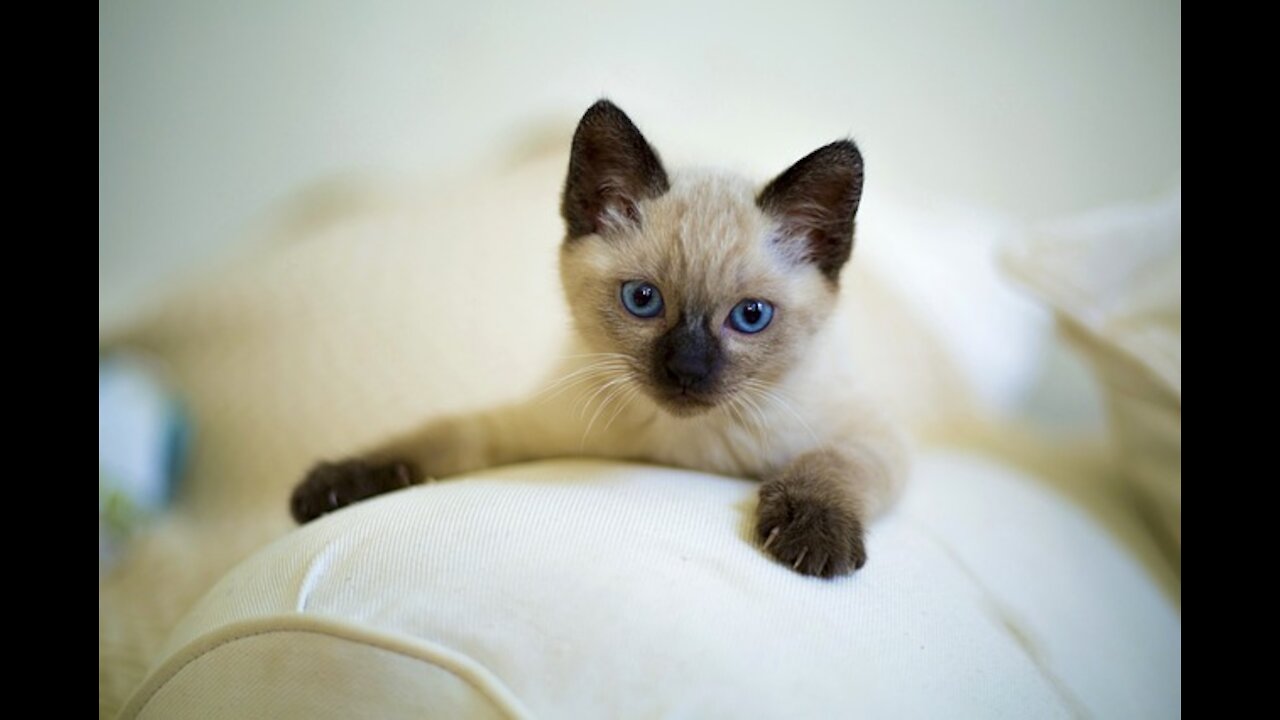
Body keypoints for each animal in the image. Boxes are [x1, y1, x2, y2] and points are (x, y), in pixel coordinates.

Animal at [290, 99, 911, 576]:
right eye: (643, 300)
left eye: (751, 316)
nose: (686, 371)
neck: (677, 451)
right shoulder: (534, 424)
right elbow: (438, 434)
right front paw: (331, 485)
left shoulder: (871, 434)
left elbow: (829, 465)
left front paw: (814, 539)